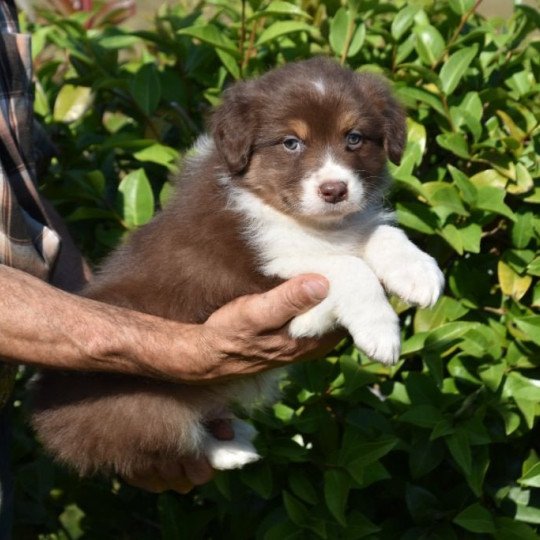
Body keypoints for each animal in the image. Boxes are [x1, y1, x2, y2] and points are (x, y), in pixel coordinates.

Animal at [28, 57, 442, 474]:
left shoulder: (348, 227)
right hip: (140, 404)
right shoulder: (254, 263)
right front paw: (378, 332)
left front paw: (420, 274)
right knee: (171, 437)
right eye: (291, 142)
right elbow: (347, 268)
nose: (334, 190)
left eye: (353, 137)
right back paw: (230, 449)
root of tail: (47, 419)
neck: (302, 220)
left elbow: (382, 234)